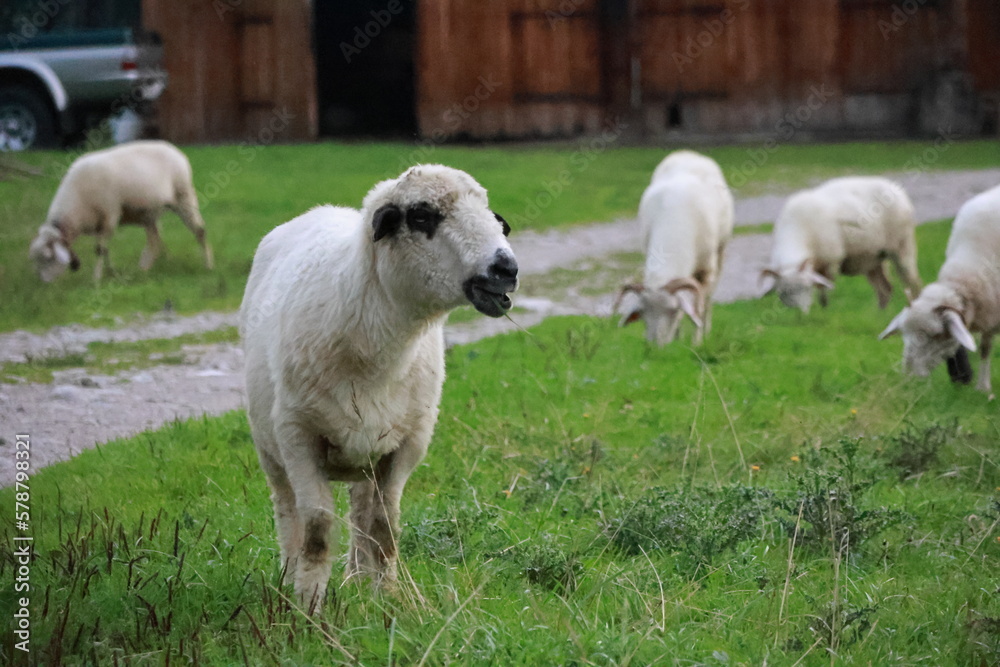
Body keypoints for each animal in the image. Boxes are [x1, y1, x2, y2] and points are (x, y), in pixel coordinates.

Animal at [28, 140, 213, 283]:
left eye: (48, 257)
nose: (43, 283)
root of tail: (175, 150)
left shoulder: (109, 215)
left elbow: (99, 249)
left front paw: (96, 279)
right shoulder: (99, 223)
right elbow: (105, 250)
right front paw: (110, 273)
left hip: (183, 196)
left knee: (200, 230)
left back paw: (209, 266)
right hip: (149, 213)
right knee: (154, 241)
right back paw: (143, 270)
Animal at [240, 165, 518, 612]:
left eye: (492, 215)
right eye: (421, 216)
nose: (506, 270)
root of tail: (322, 210)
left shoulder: (407, 444)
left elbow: (385, 529)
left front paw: (386, 601)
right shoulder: (298, 437)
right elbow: (317, 529)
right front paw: (308, 608)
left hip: (366, 450)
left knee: (360, 511)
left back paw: (356, 579)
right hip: (271, 447)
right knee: (287, 511)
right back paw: (287, 578)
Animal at [616, 150, 734, 346]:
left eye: (672, 310)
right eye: (642, 314)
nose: (655, 346)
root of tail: (689, 153)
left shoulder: (705, 271)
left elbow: (698, 310)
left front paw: (697, 342)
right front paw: (678, 341)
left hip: (721, 250)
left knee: (709, 300)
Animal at [761, 176, 921, 312]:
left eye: (806, 287)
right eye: (782, 293)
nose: (799, 313)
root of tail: (897, 189)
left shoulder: (832, 262)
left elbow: (824, 290)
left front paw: (824, 310)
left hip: (902, 246)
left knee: (912, 281)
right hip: (874, 257)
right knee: (885, 288)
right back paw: (880, 314)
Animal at [879, 183, 1000, 397]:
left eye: (934, 335)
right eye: (904, 333)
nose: (908, 375)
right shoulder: (990, 311)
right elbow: (985, 347)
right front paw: (982, 388)